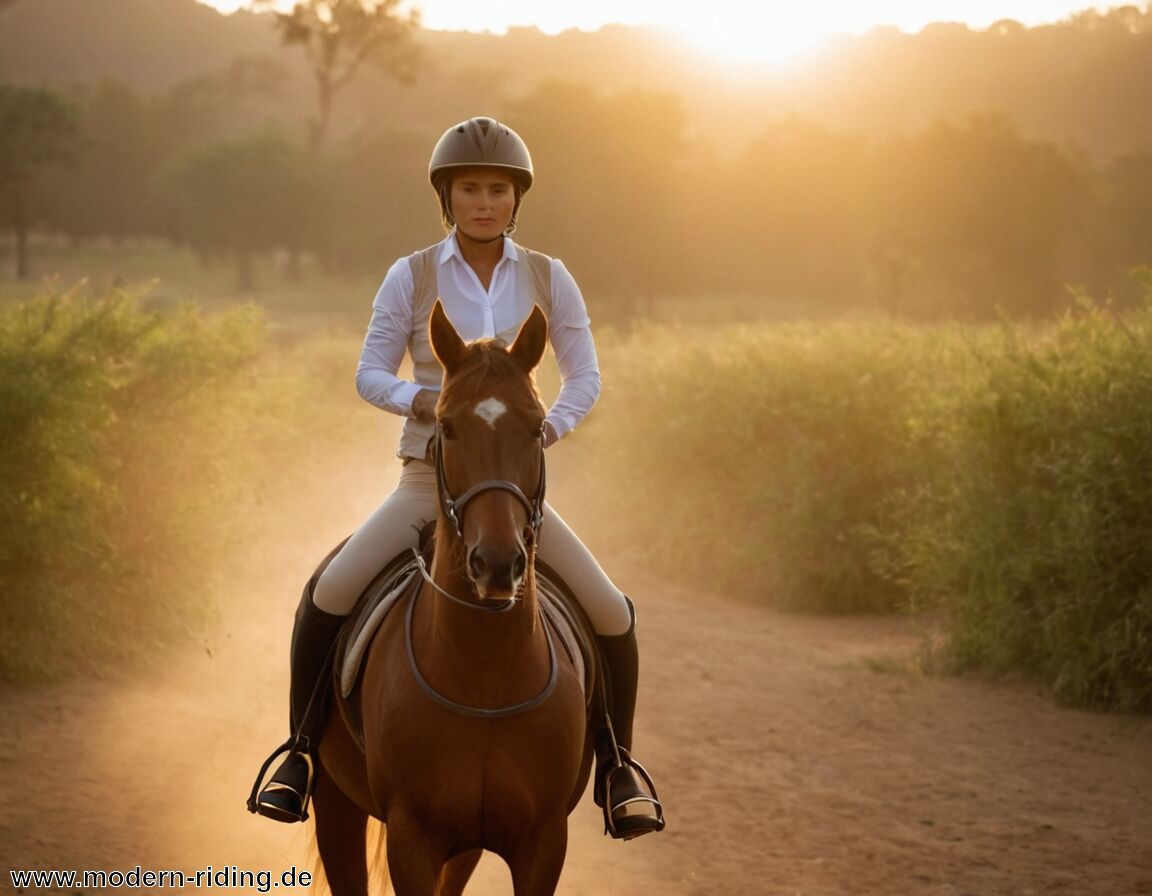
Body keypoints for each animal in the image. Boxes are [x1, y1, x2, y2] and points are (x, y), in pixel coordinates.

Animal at [309, 300, 596, 895]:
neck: (484, 677)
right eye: (445, 425)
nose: (497, 563)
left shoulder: (542, 843)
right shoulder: (411, 837)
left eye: (537, 428)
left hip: (466, 846)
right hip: (334, 803)